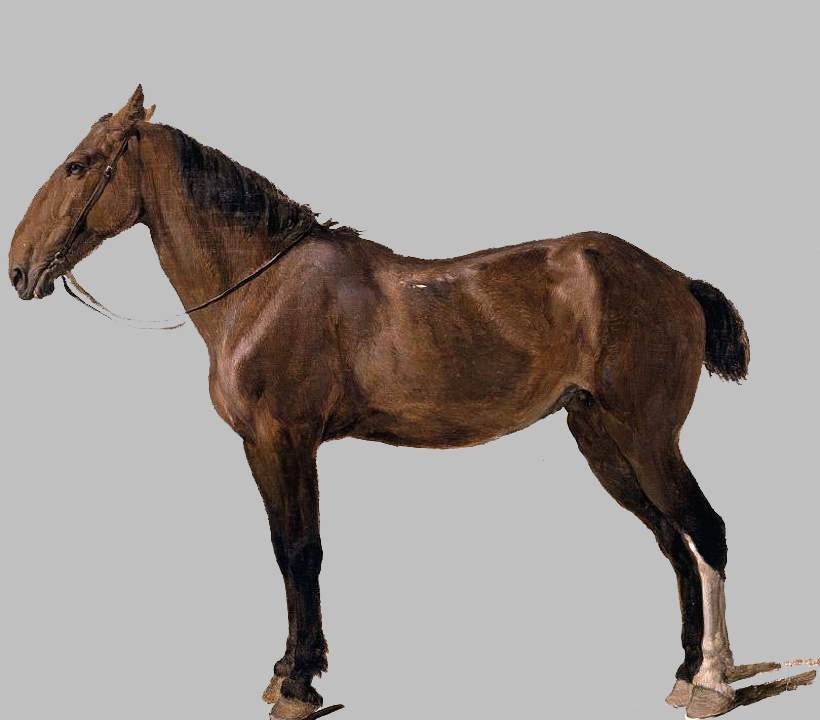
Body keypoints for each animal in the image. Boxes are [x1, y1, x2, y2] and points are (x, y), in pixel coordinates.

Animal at [8, 86, 814, 720]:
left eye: (79, 164)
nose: (19, 268)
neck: (262, 287)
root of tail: (675, 279)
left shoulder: (285, 440)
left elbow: (301, 551)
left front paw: (299, 682)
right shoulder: (263, 449)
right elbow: (284, 552)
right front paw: (287, 670)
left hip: (646, 435)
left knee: (705, 531)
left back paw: (712, 683)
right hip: (601, 440)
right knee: (672, 543)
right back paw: (682, 673)